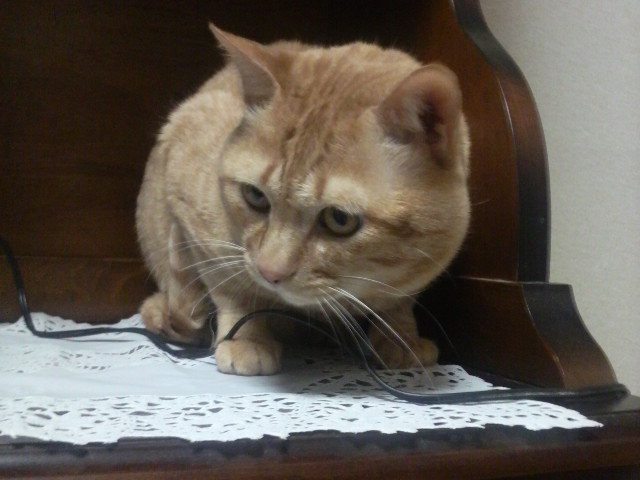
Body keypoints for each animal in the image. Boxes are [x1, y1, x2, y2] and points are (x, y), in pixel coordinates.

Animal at [136, 25, 470, 376]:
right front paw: (247, 338)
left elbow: (401, 301)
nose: (270, 272)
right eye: (255, 196)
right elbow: (232, 289)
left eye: (340, 219)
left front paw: (401, 337)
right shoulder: (196, 219)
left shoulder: (420, 268)